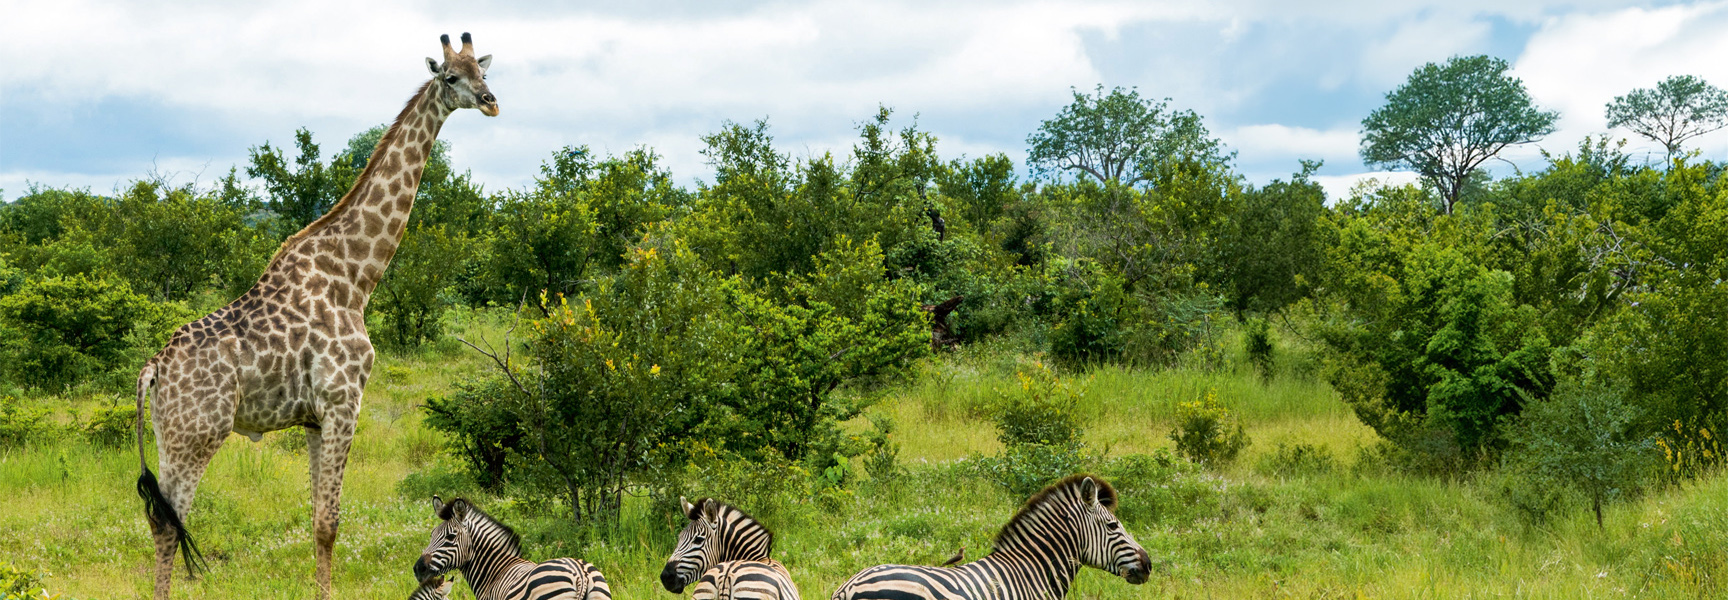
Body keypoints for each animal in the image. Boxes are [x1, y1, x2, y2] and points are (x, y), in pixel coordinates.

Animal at [133, 33, 498, 600]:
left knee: (160, 519)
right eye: (450, 77)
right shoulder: (344, 401)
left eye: (482, 71)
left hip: (167, 436)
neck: (355, 276)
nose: (490, 101)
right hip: (197, 436)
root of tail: (153, 368)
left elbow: (314, 521)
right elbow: (330, 522)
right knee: (170, 522)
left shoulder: (310, 417)